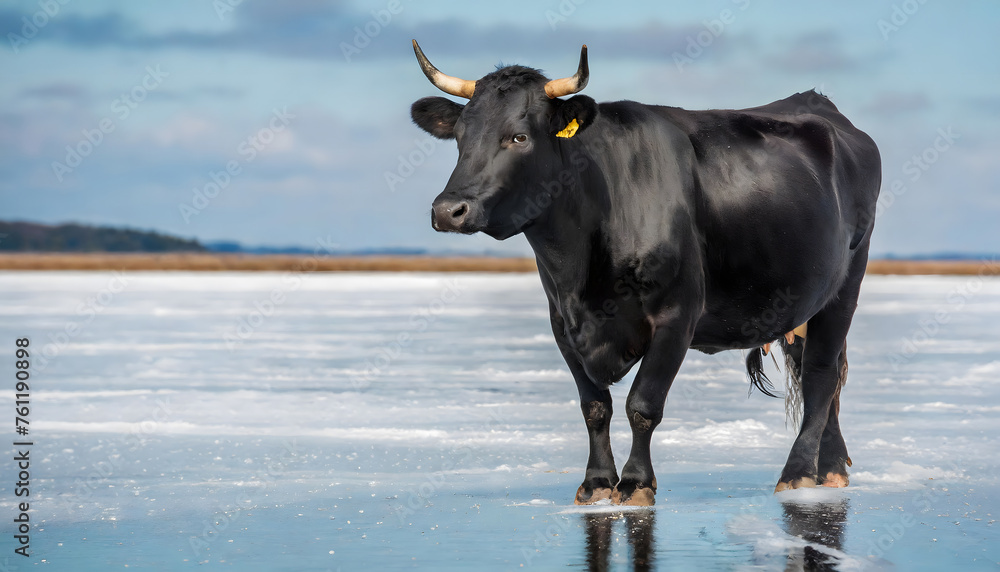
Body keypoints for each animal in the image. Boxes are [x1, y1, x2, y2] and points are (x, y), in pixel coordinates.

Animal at [409, 40, 881, 506]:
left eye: (519, 136)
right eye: (460, 136)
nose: (447, 210)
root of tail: (823, 107)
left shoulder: (676, 315)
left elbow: (642, 404)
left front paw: (636, 482)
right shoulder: (561, 322)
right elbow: (594, 407)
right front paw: (597, 481)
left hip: (845, 286)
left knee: (821, 373)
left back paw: (799, 472)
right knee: (818, 373)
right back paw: (832, 468)